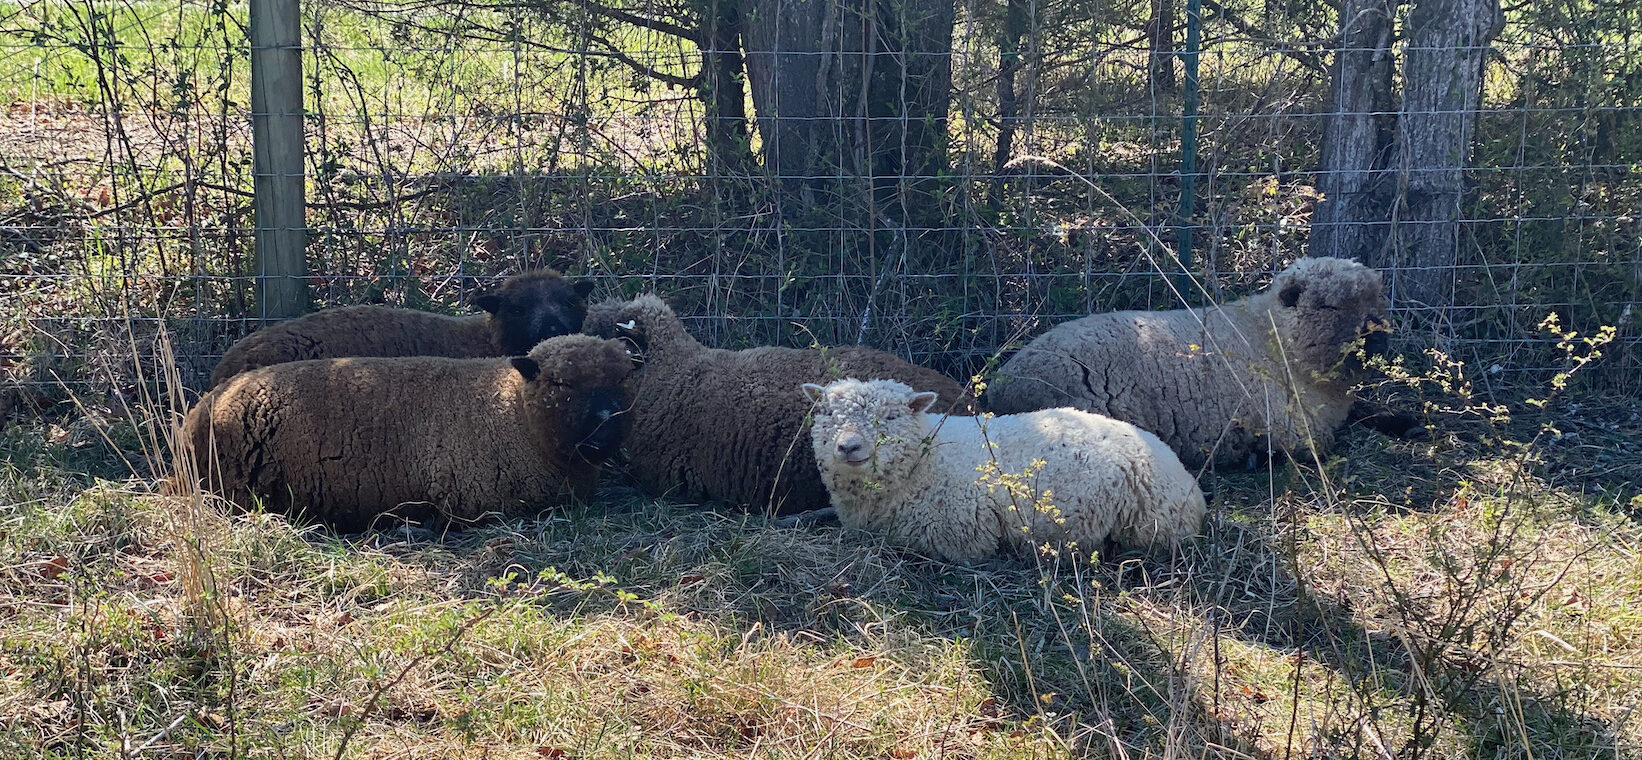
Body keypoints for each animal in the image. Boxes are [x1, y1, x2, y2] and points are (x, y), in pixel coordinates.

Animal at [807, 377, 1208, 561]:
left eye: (890, 417)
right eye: (826, 413)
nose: (848, 446)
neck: (927, 460)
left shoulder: (958, 541)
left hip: (1152, 529)